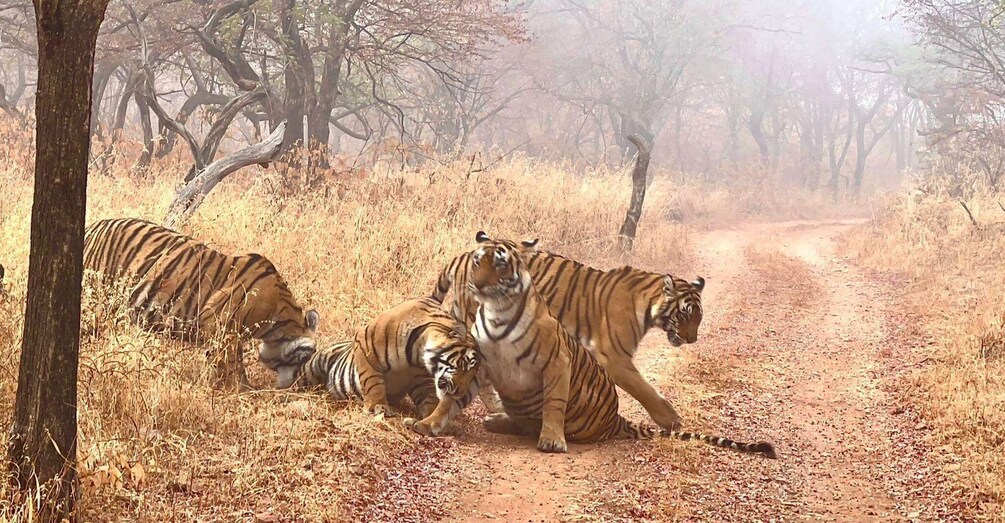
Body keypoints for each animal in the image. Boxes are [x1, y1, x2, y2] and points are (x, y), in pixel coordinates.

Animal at [82, 217, 319, 390]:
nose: (303, 385)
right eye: (304, 358)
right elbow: (232, 365)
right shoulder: (221, 329)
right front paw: (237, 390)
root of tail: (92, 226)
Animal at [289, 297, 481, 436]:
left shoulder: (420, 379)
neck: (417, 354)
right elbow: (372, 381)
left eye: (473, 374)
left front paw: (432, 420)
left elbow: (430, 400)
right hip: (314, 366)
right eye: (465, 364)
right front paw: (377, 406)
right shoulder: (365, 345)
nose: (459, 393)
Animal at [465, 233, 775, 457]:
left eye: (699, 316)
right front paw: (673, 421)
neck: (649, 305)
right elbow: (646, 390)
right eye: (685, 314)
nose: (692, 339)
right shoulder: (615, 358)